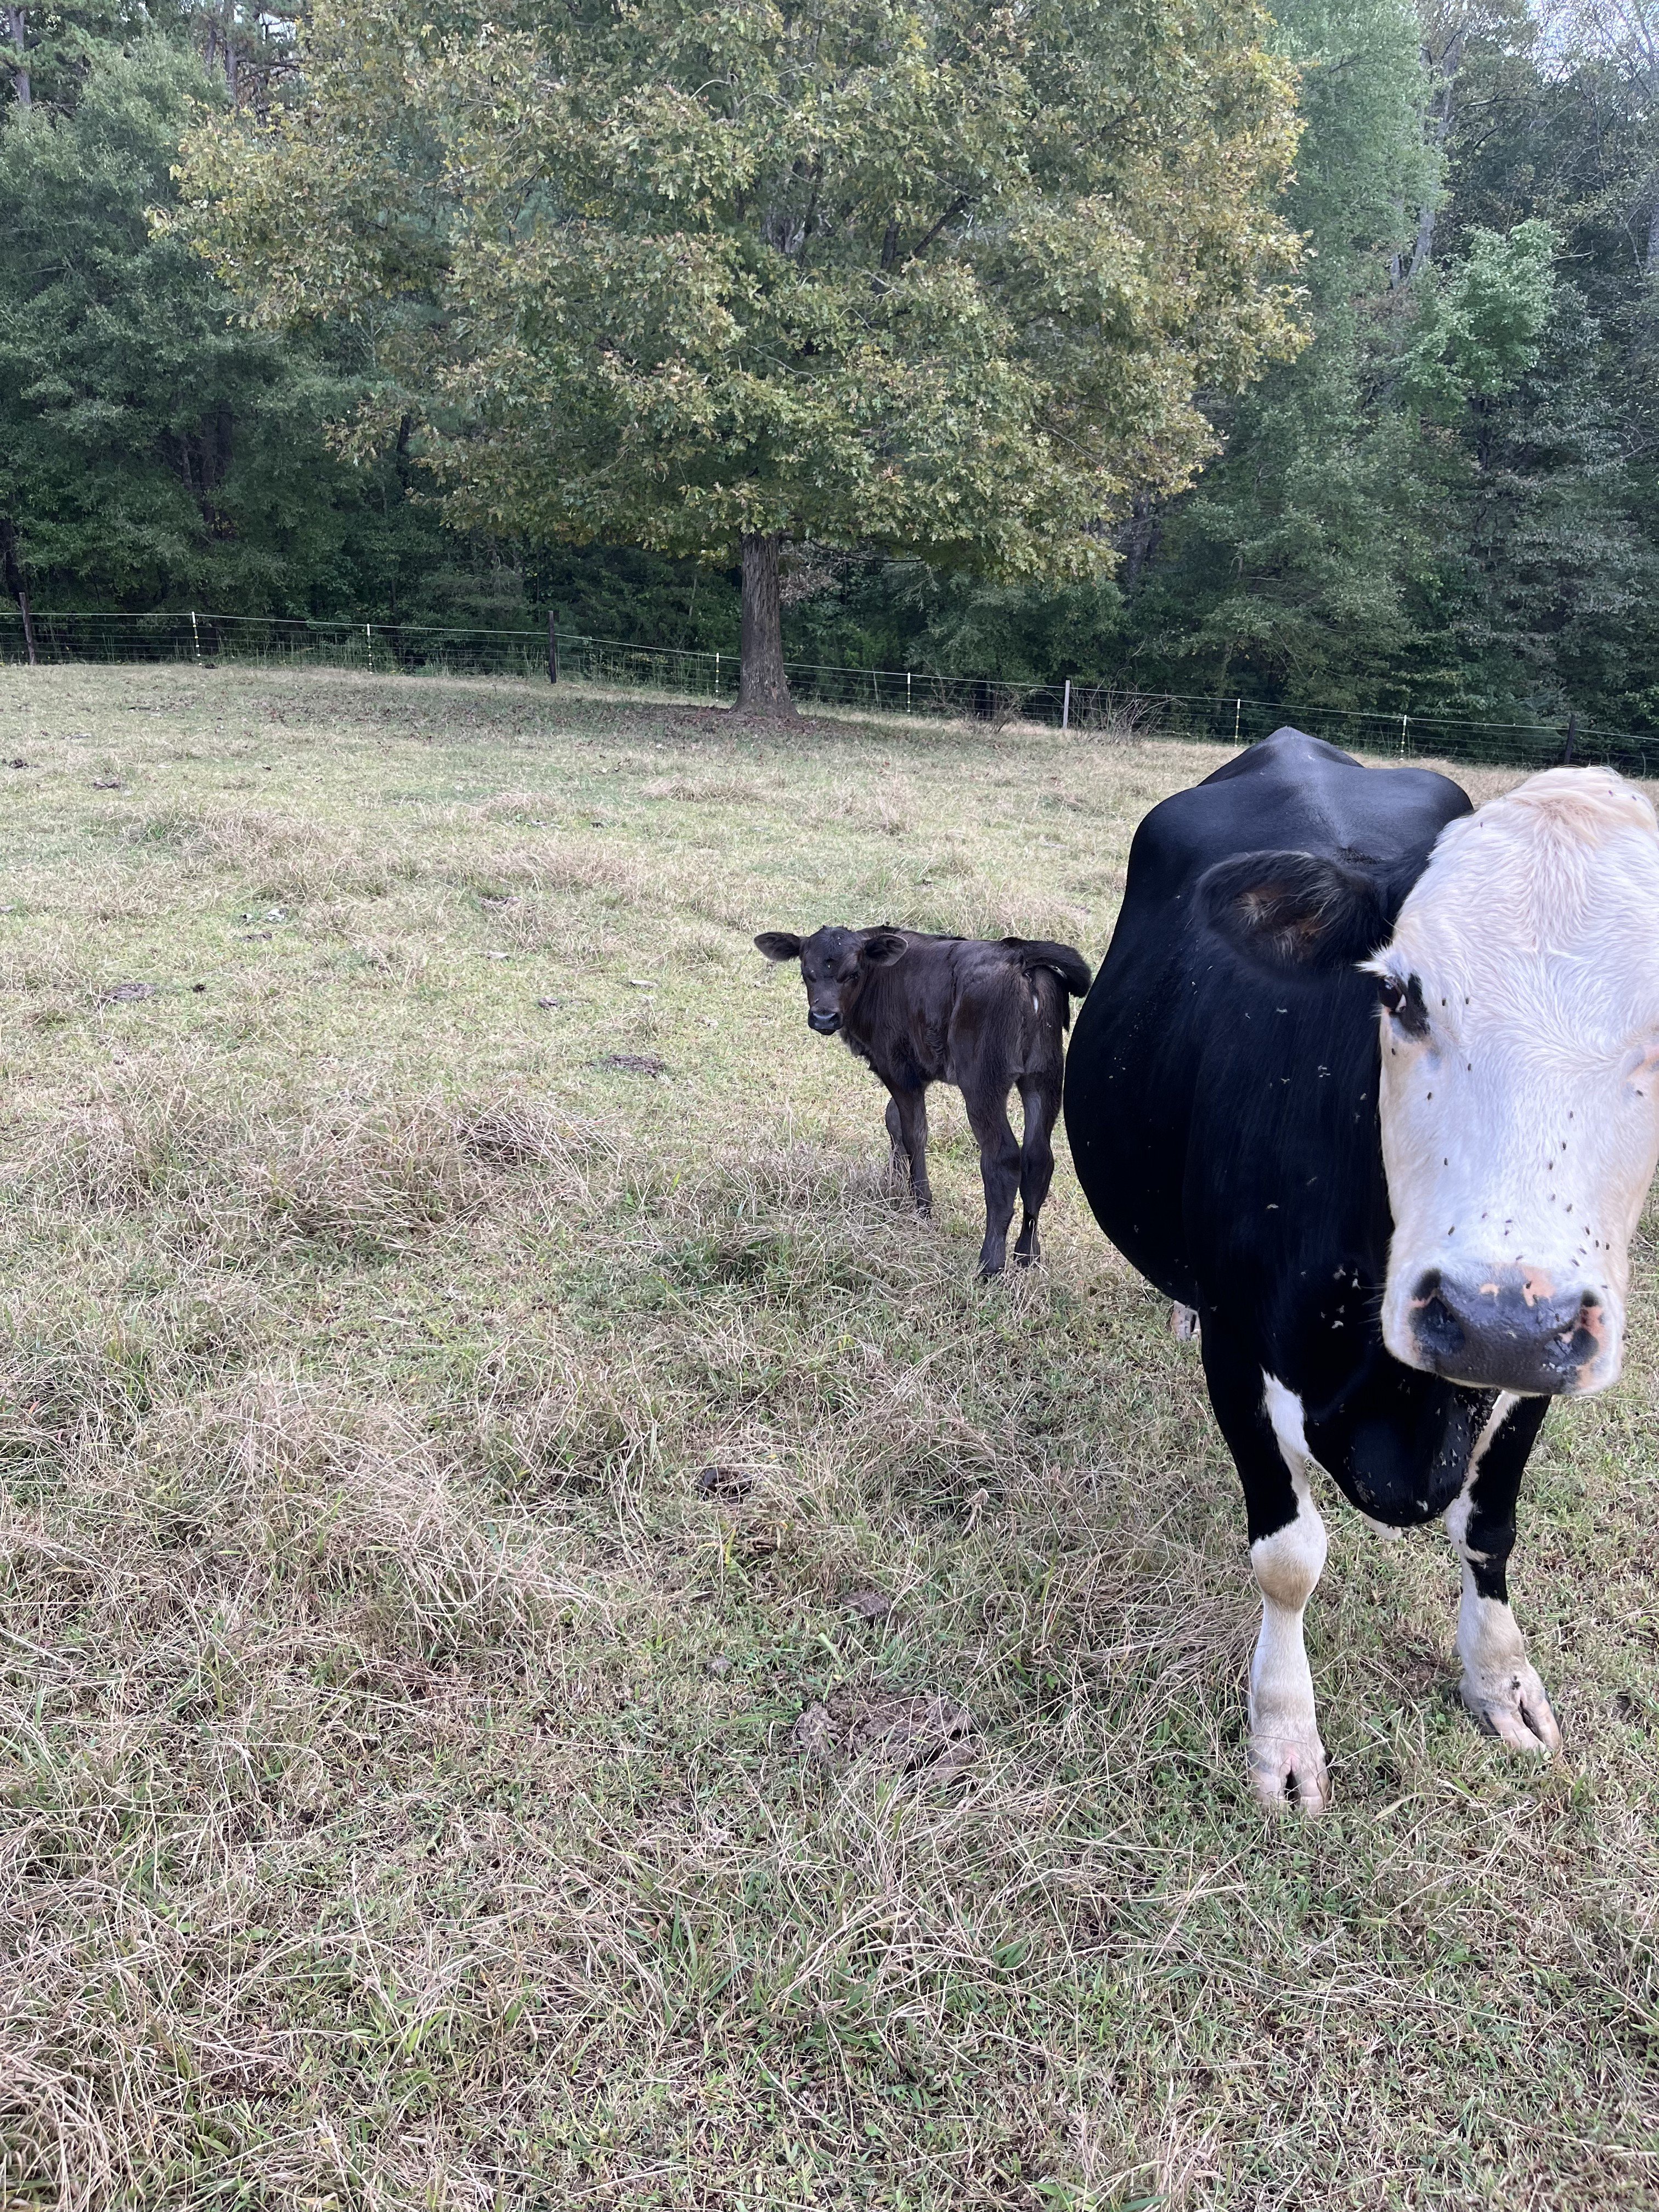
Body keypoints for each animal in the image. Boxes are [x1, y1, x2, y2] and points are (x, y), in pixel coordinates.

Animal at [755, 926, 1093, 1276]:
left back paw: (990, 1263)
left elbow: (914, 1133)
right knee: (1039, 1158)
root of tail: (1020, 956)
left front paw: (922, 1207)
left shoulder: (898, 1069)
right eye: (806, 973)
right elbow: (893, 1119)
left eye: (854, 973)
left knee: (1003, 1158)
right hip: (1045, 1076)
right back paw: (1028, 1256)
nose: (824, 1018)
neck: (879, 980)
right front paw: (892, 1187)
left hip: (983, 1079)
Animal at [1063, 728, 1659, 1813]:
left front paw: (1500, 1678)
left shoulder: (1549, 1358)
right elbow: (1289, 1558)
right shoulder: (1239, 1349)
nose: (1494, 1318)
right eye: (1396, 993)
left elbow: (1490, 1528)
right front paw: (1283, 1732)